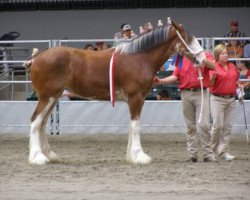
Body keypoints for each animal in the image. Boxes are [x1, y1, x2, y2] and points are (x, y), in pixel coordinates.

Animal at [27, 19, 205, 165]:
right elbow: (136, 125)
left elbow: (131, 125)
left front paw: (131, 156)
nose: (203, 60)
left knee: (42, 123)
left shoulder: (137, 99)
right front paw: (140, 156)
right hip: (47, 97)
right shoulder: (135, 98)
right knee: (35, 121)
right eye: (187, 39)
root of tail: (37, 57)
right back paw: (38, 158)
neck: (139, 58)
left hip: (54, 97)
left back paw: (49, 155)